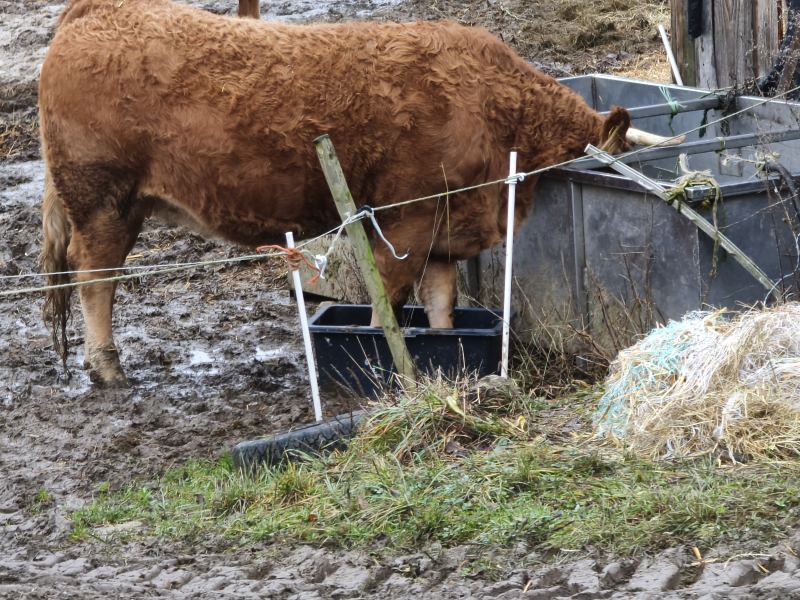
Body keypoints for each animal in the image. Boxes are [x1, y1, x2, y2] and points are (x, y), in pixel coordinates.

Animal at [38, 0, 667, 387]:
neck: (491, 104)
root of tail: (95, 10)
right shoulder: (404, 220)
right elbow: (386, 299)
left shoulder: (445, 227)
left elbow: (442, 307)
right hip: (103, 200)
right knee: (95, 280)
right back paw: (107, 367)